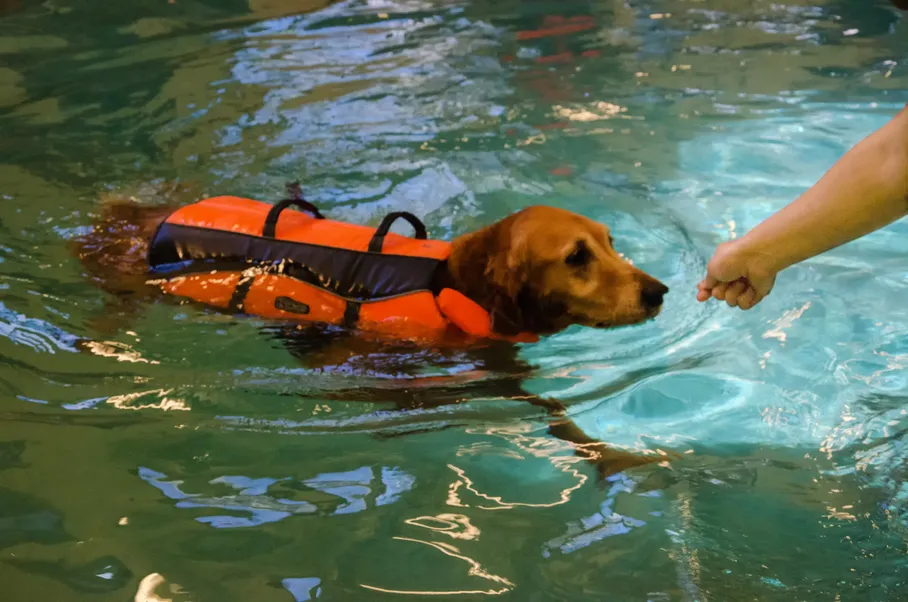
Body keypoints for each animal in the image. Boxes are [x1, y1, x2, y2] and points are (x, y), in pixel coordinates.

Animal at [71, 183, 672, 478]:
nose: (659, 291)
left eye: (612, 242)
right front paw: (616, 456)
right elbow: (555, 413)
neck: (452, 282)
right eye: (576, 256)